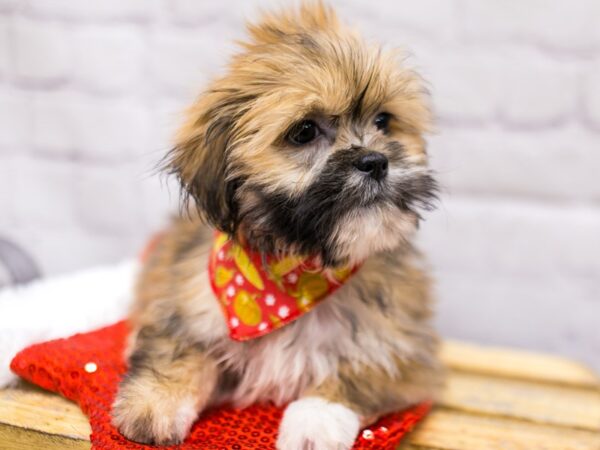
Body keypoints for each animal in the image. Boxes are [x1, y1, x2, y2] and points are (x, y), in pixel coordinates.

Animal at [111, 3, 440, 450]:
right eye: (304, 131)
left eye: (384, 121)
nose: (375, 161)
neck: (298, 272)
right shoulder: (185, 302)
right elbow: (179, 348)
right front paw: (154, 403)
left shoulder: (405, 352)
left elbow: (357, 372)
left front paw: (316, 420)